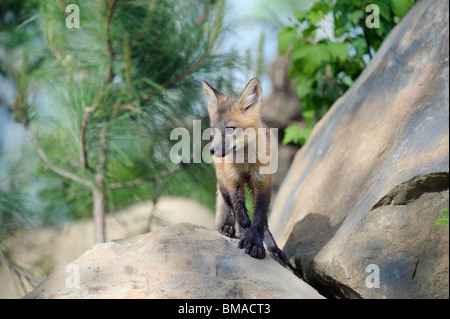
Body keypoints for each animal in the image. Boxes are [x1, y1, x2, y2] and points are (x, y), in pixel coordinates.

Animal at [201, 78, 286, 264]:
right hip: (222, 181)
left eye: (230, 128)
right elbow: (241, 214)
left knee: (265, 223)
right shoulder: (233, 181)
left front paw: (256, 244)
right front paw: (247, 238)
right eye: (213, 130)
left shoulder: (263, 183)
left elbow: (259, 220)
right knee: (228, 205)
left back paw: (273, 247)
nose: (212, 151)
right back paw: (227, 227)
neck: (246, 162)